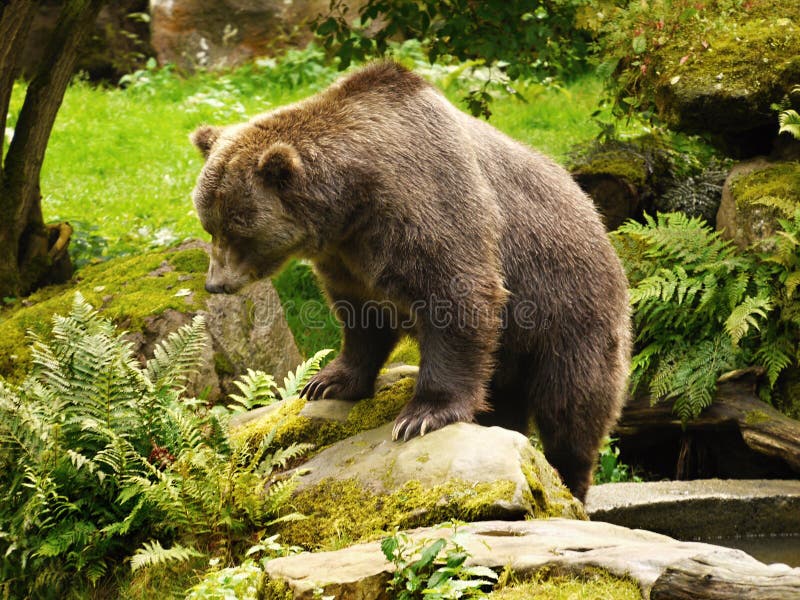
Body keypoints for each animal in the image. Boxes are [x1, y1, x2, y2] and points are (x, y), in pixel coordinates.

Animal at [189, 61, 632, 502]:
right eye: (209, 223)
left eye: (237, 229)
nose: (215, 284)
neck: (353, 206)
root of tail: (601, 225)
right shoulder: (348, 259)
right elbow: (361, 319)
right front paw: (327, 382)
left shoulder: (428, 206)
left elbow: (458, 297)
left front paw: (422, 416)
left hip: (569, 310)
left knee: (572, 404)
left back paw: (570, 479)